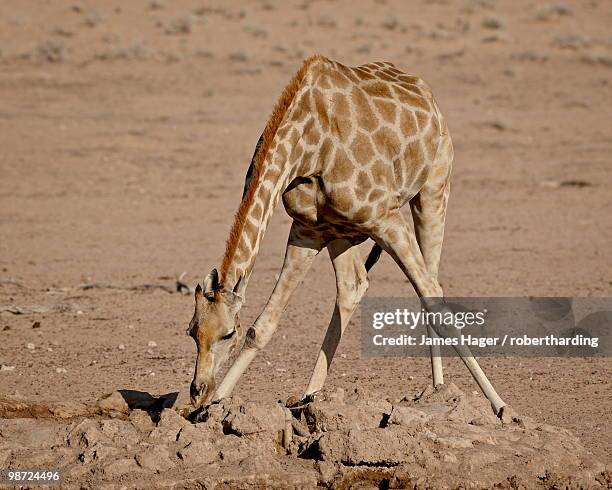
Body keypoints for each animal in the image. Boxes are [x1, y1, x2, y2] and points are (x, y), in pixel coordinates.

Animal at [189, 56, 510, 418]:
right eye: (192, 331)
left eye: (228, 333)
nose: (198, 390)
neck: (307, 145)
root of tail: (426, 93)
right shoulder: (307, 230)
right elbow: (264, 325)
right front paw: (212, 408)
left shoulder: (385, 217)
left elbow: (432, 297)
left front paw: (502, 407)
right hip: (341, 232)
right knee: (353, 287)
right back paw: (309, 396)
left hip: (433, 189)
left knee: (431, 283)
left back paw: (438, 389)